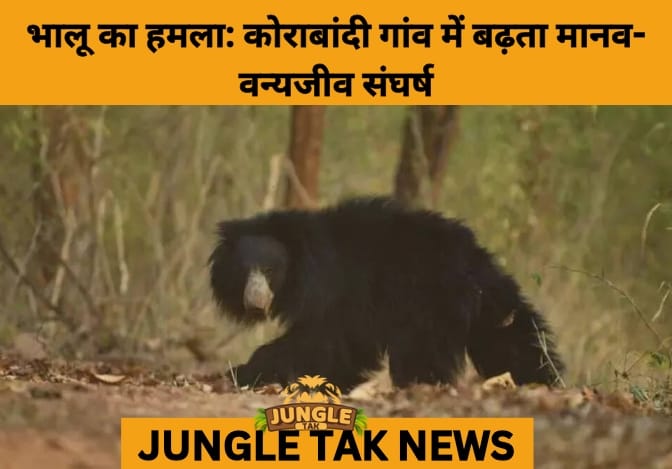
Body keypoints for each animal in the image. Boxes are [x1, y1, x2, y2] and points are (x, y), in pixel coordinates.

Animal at [209, 196, 564, 391]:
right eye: (244, 272)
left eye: (270, 271)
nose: (255, 303)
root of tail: (475, 259)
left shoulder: (337, 290)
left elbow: (324, 340)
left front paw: (241, 372)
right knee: (507, 340)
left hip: (430, 300)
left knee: (420, 350)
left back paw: (419, 385)